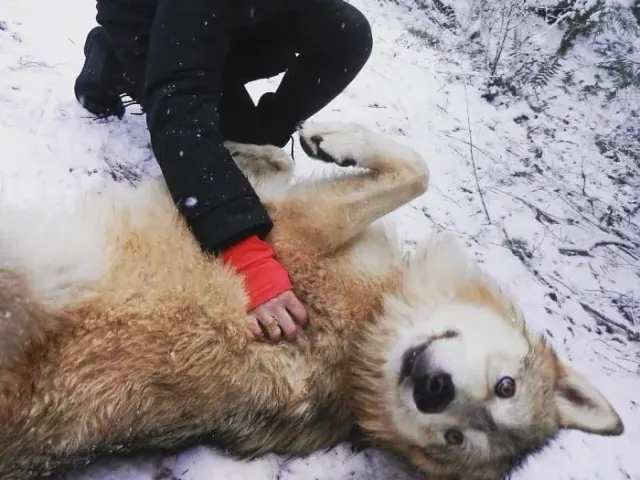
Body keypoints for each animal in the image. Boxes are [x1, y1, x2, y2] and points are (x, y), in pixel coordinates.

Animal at [0, 122, 623, 479]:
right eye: (506, 386)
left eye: (455, 437)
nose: (431, 389)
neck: (369, 326)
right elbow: (290, 163)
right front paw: (261, 145)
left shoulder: (301, 225)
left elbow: (414, 172)